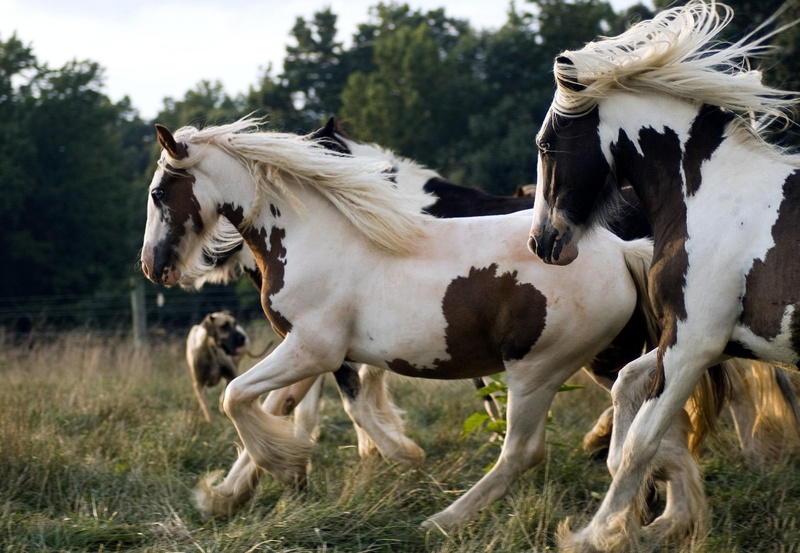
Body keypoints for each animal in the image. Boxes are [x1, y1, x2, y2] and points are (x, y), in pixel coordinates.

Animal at [140, 117, 659, 530]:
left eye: (158, 193)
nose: (153, 265)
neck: (317, 237)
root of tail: (621, 250)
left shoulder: (314, 351)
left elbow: (237, 397)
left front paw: (299, 468)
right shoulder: (311, 353)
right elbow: (275, 405)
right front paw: (228, 496)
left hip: (538, 371)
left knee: (523, 452)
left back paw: (443, 521)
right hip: (590, 362)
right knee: (636, 415)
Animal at [527, 1, 800, 549]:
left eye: (545, 144)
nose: (542, 242)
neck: (712, 198)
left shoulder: (693, 343)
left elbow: (641, 441)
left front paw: (596, 534)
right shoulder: (716, 340)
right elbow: (625, 388)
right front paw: (660, 510)